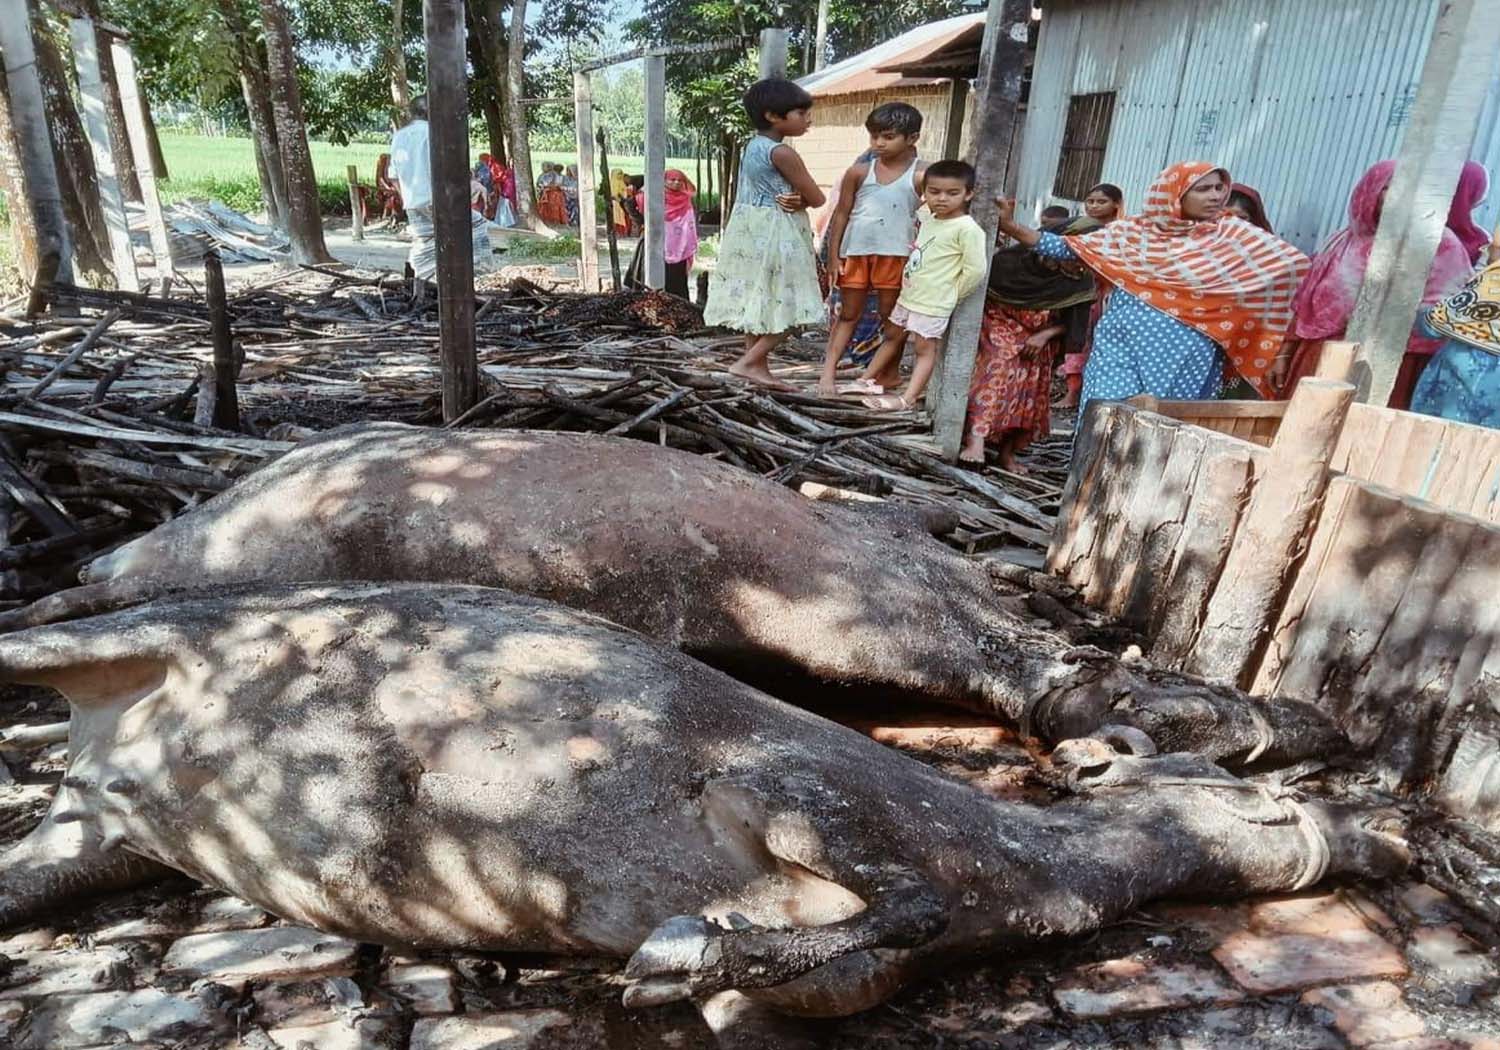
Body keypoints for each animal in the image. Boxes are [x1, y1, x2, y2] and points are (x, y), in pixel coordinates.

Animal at [0, 582, 1404, 1026]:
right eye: (1243, 792)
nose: (1382, 830)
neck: (1025, 863)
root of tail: (95, 751)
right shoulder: (802, 789)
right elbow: (889, 891)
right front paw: (685, 950)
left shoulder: (849, 982)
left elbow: (810, 971)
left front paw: (702, 963)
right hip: (129, 636)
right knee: (39, 641)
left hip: (102, 835)